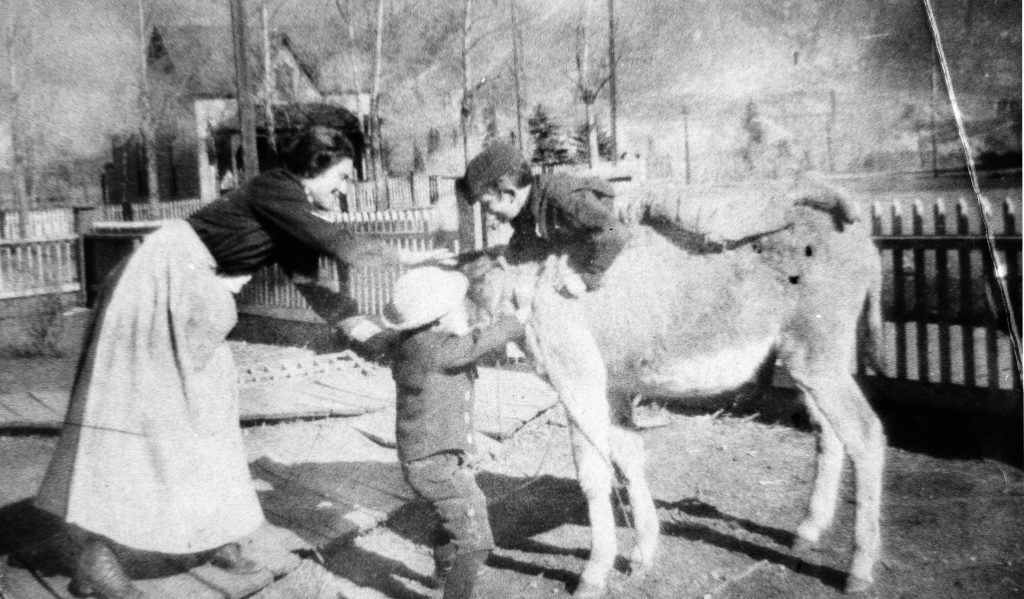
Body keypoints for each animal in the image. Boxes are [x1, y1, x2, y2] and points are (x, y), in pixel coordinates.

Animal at [458, 191, 886, 597]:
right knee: (829, 433)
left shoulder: (577, 380)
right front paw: (644, 553)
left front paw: (595, 573)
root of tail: (861, 236)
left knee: (866, 435)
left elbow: (593, 473)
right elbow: (630, 459)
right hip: (810, 362)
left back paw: (859, 569)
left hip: (817, 355)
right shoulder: (614, 386)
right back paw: (808, 532)